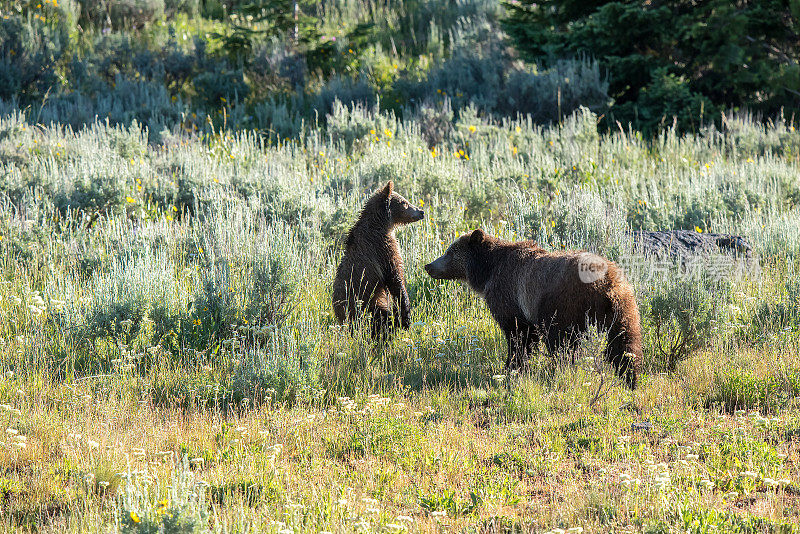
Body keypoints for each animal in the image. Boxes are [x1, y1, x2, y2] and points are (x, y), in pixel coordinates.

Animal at [332, 182, 424, 338]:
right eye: (404, 202)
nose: (421, 211)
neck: (382, 225)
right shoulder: (382, 250)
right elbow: (396, 278)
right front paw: (405, 315)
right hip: (363, 303)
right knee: (378, 320)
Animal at [424, 230, 644, 390]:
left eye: (450, 251)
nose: (429, 265)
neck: (488, 270)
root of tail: (606, 281)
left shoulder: (510, 296)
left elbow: (519, 337)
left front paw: (512, 367)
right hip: (622, 308)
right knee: (624, 342)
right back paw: (630, 378)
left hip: (562, 304)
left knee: (561, 343)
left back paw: (557, 372)